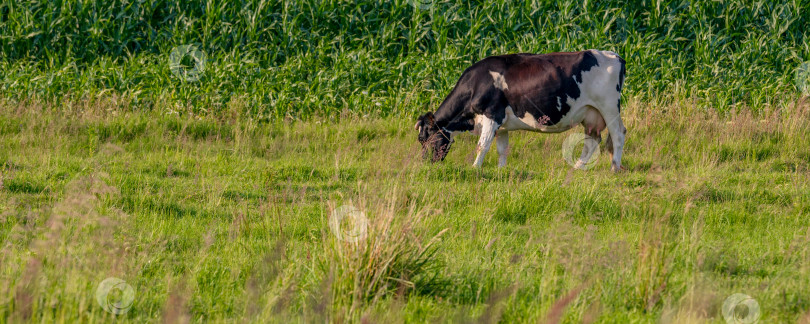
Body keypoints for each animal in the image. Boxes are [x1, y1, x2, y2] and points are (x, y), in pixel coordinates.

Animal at [414, 49, 628, 171]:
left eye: (426, 139)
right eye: (420, 140)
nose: (425, 163)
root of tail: (615, 55)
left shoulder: (492, 115)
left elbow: (482, 145)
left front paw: (475, 168)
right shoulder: (501, 125)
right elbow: (502, 149)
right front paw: (501, 170)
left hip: (609, 106)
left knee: (618, 134)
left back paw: (614, 167)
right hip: (590, 113)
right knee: (592, 140)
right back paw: (578, 167)